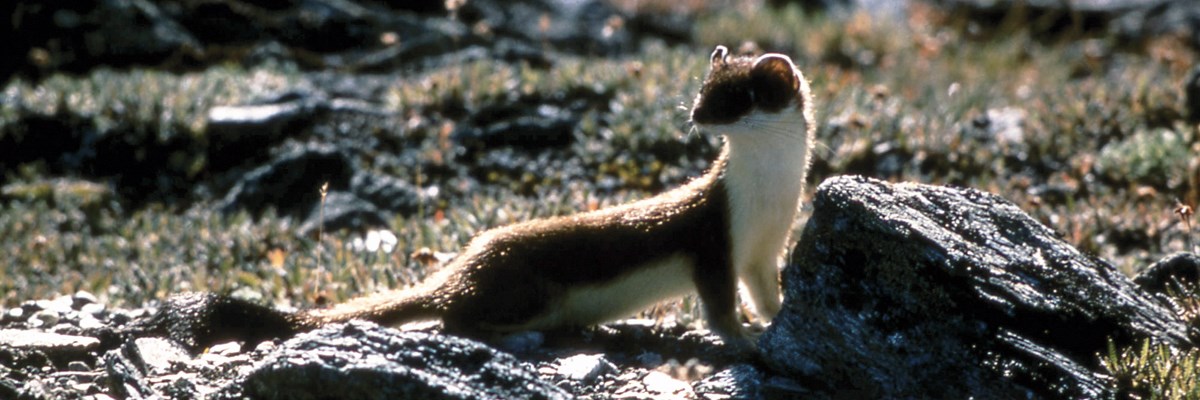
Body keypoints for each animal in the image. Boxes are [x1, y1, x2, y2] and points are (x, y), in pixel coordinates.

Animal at [147, 45, 816, 353]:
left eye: (737, 96)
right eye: (704, 89)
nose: (698, 115)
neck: (767, 199)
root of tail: (464, 262)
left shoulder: (764, 249)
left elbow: (765, 293)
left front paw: (775, 319)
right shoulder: (712, 240)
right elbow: (720, 307)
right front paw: (745, 341)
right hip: (518, 288)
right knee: (452, 314)